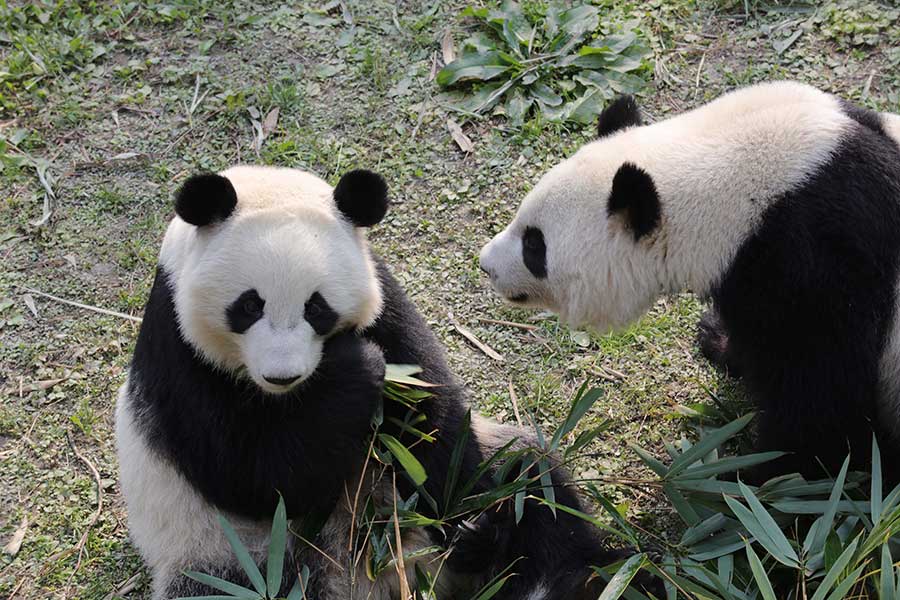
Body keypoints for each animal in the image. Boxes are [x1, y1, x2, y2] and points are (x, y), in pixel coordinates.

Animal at [116, 164, 628, 600]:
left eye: (316, 307)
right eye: (248, 306)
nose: (283, 374)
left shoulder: (384, 297)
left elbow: (430, 415)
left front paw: (470, 529)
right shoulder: (178, 346)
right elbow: (253, 474)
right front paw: (355, 368)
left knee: (532, 484)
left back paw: (572, 576)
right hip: (230, 551)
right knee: (233, 583)